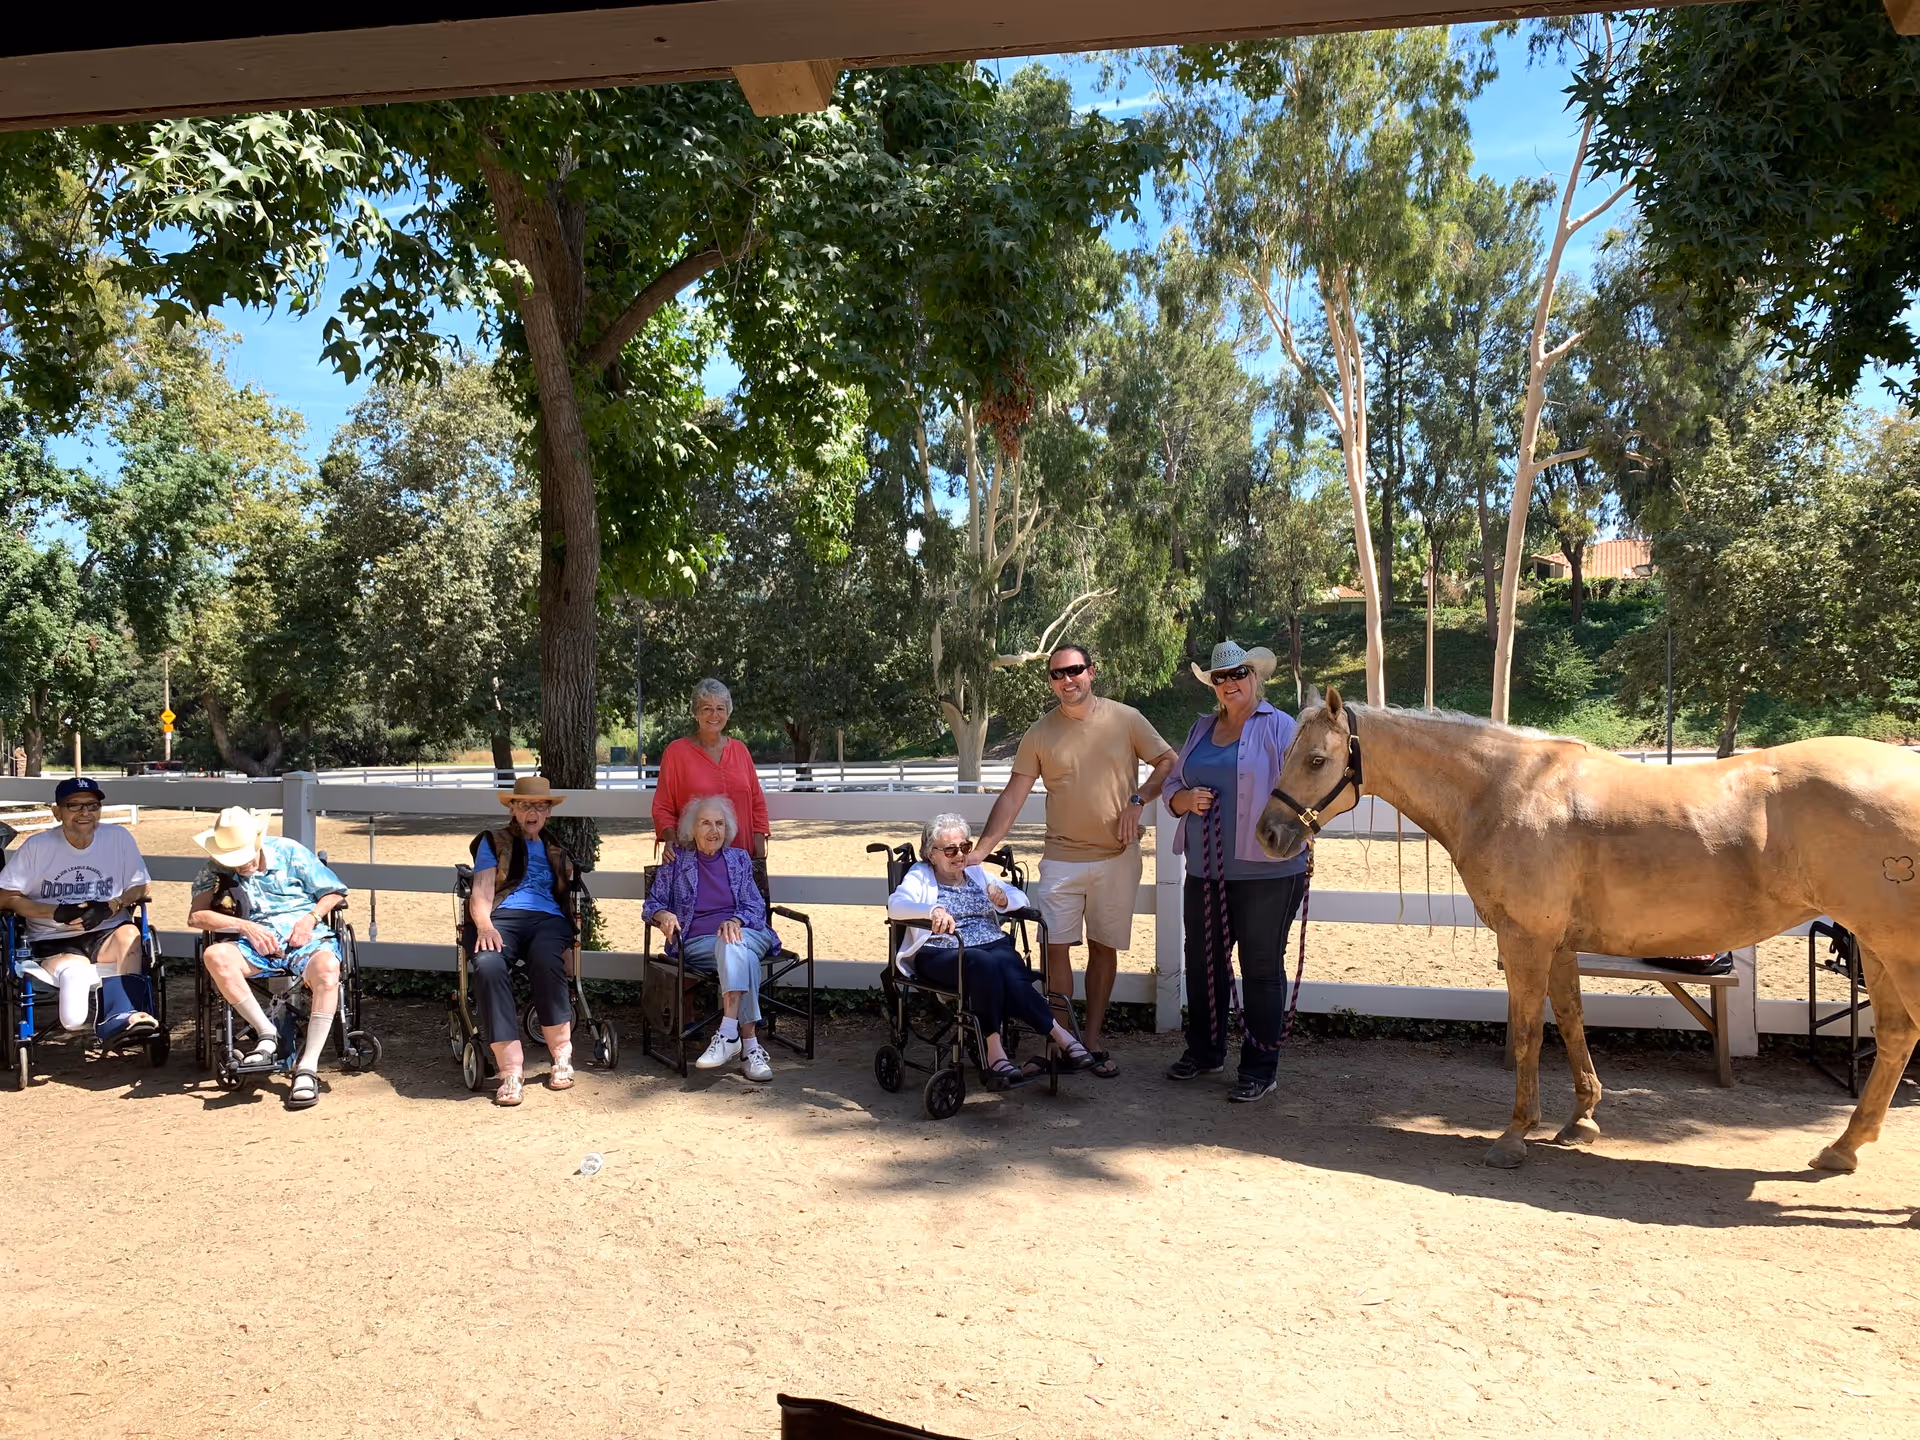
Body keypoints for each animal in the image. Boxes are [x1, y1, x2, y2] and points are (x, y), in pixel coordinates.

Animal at [1256, 687, 1920, 1172]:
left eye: (1316, 759)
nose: (1269, 833)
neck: (1508, 791)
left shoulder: (1524, 940)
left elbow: (1528, 1032)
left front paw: (1515, 1135)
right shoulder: (1558, 945)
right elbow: (1572, 1022)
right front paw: (1581, 1120)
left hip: (1898, 950)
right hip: (1877, 948)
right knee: (1895, 1037)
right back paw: (1842, 1149)